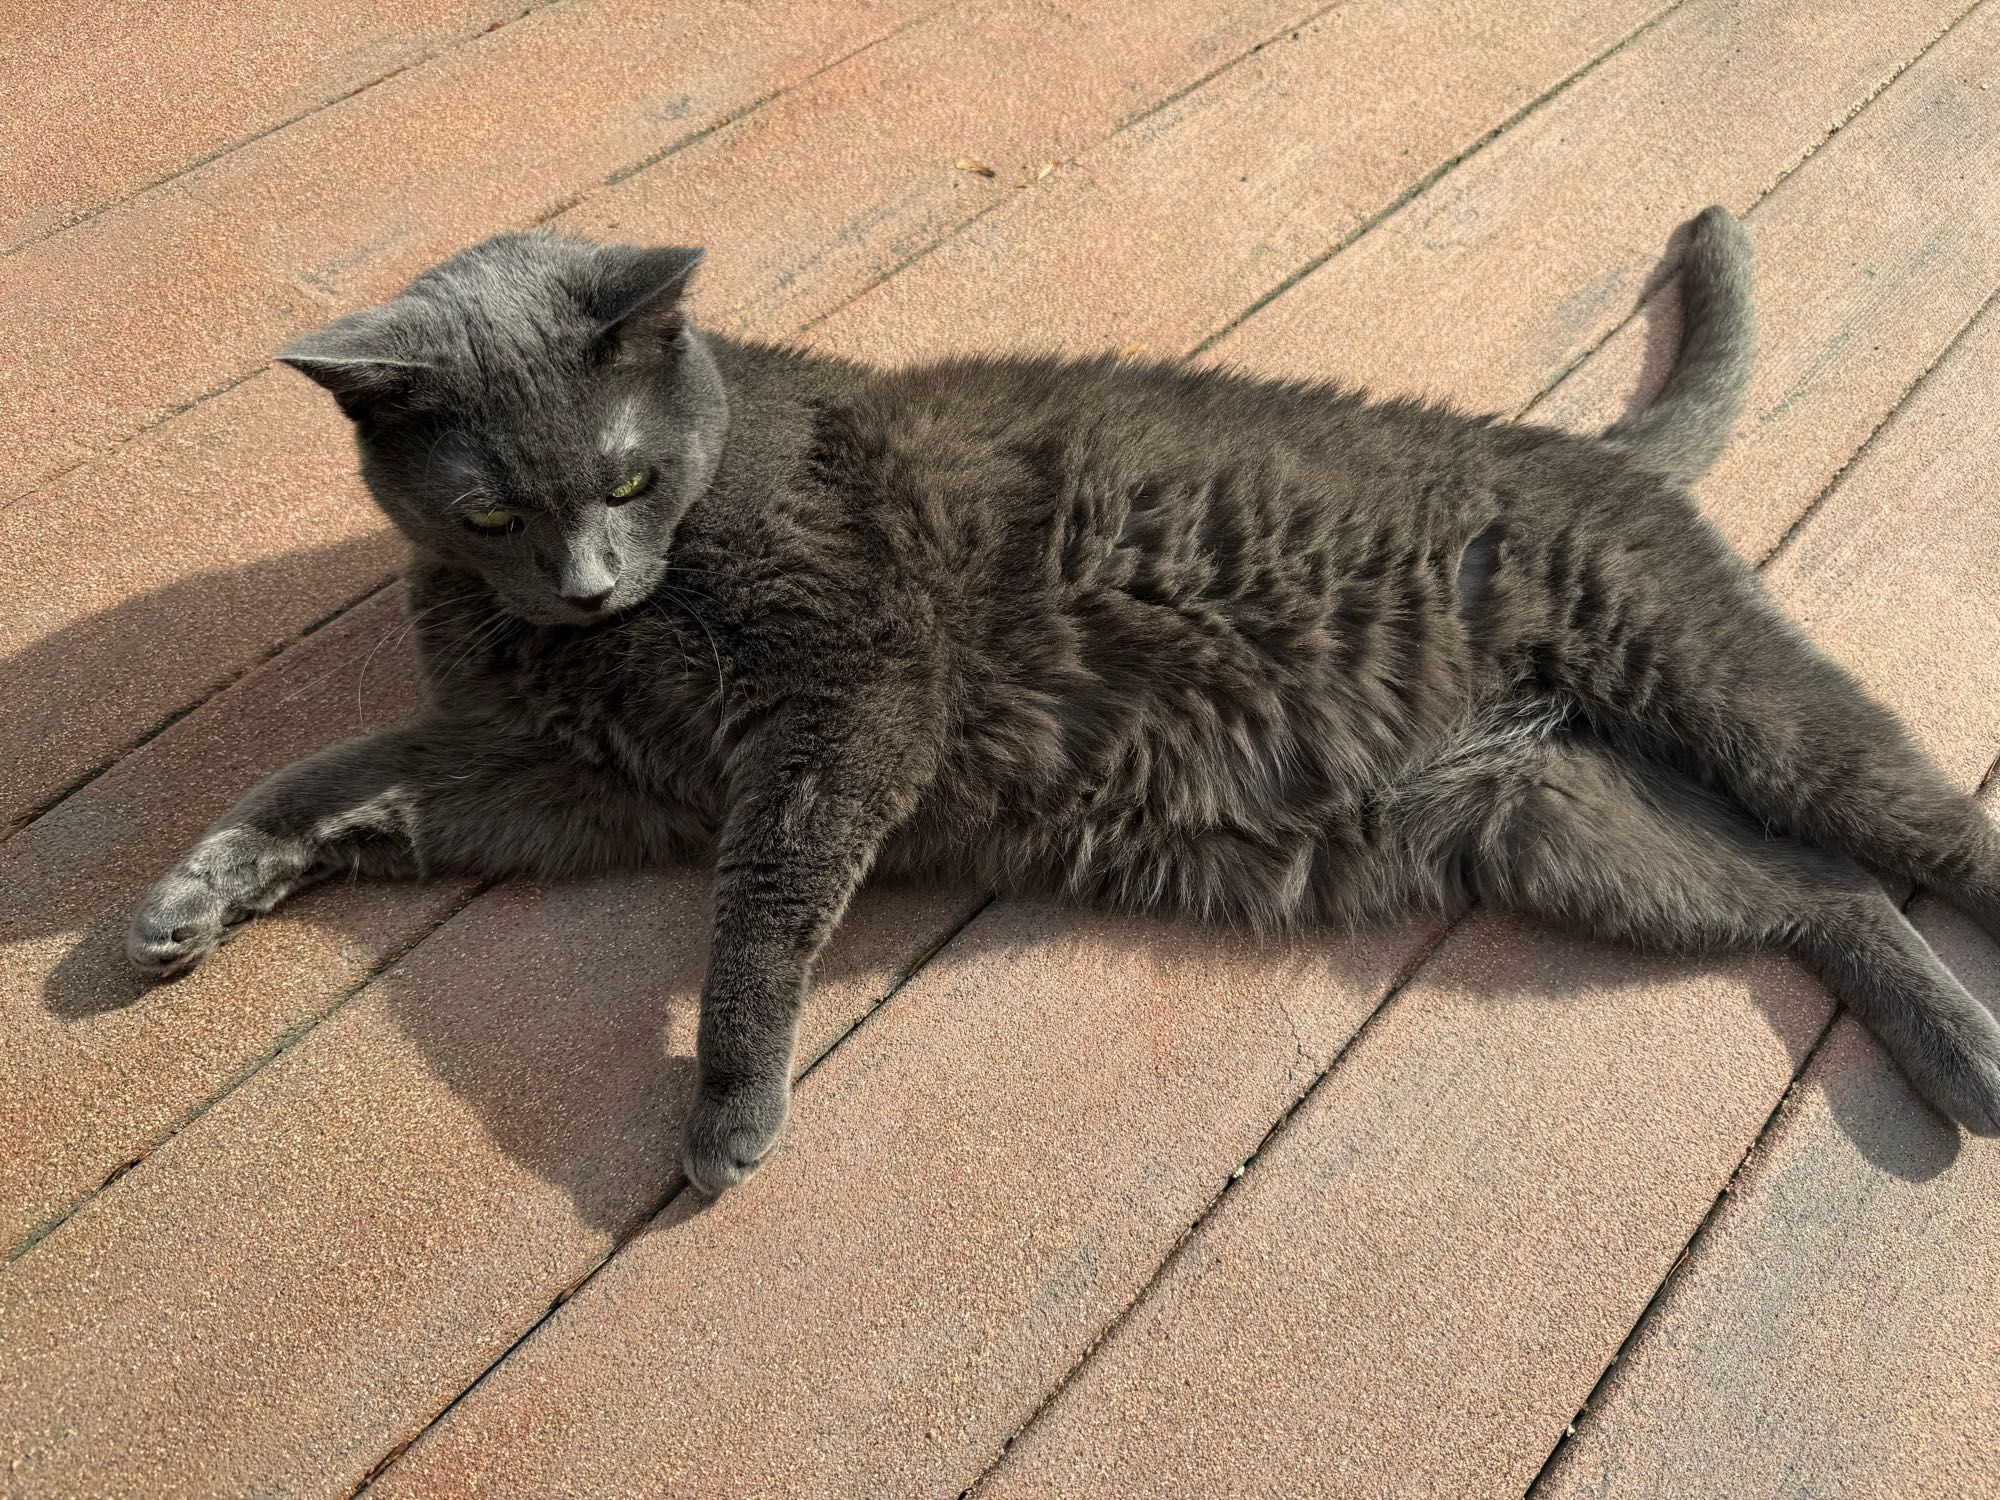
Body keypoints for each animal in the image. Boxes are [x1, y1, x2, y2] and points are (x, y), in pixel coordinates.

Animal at [129, 212, 2000, 1200]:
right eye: (491, 512)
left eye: (629, 476)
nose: (589, 582)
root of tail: (1578, 446)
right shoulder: (573, 782)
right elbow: (337, 778)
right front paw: (196, 896)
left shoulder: (843, 711)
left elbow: (762, 912)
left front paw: (729, 1110)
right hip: (1560, 832)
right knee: (1820, 904)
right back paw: (1967, 1061)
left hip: (1725, 697)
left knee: (1912, 832)